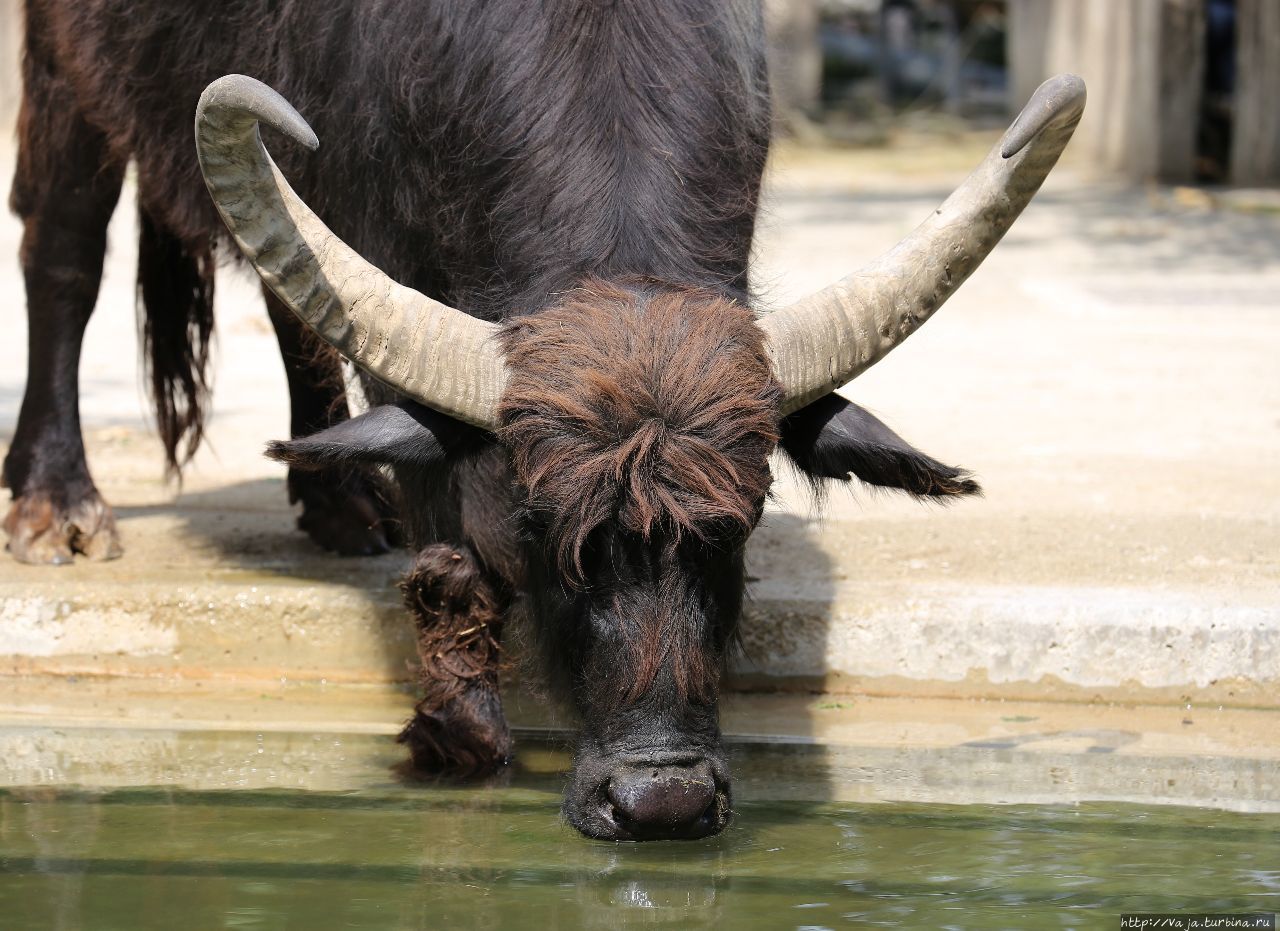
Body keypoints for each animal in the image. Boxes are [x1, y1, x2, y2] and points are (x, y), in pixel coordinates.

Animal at [2, 0, 1080, 840]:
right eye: (542, 528)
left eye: (739, 527)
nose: (660, 801)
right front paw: (450, 729)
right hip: (62, 69)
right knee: (63, 250)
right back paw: (57, 505)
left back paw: (340, 503)